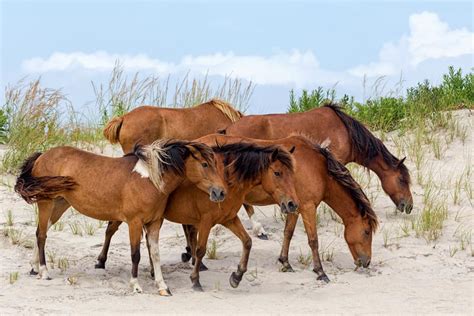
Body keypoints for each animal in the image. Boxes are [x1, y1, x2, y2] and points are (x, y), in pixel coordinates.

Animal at [15, 139, 228, 296]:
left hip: (60, 203)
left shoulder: (154, 223)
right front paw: (135, 285)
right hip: (46, 202)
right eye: (205, 164)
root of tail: (42, 156)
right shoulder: (134, 222)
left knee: (40, 231)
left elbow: (155, 254)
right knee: (42, 235)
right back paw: (44, 272)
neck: (149, 180)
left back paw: (34, 267)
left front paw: (163, 287)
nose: (220, 192)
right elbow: (136, 254)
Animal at [95, 138, 300, 292]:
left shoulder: (229, 219)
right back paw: (100, 261)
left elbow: (247, 242)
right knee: (110, 230)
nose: (292, 204)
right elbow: (201, 249)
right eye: (277, 173)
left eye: (292, 174)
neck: (227, 180)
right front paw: (195, 280)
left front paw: (237, 276)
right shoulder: (206, 221)